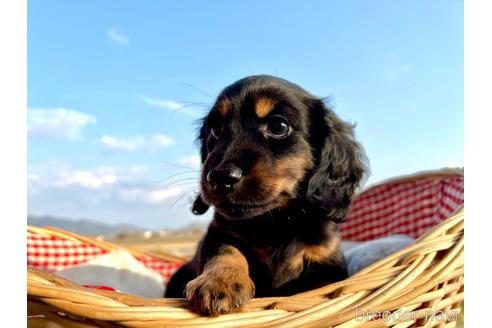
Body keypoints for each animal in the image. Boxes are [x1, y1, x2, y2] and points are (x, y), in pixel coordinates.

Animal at [165, 74, 366, 316]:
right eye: (215, 130)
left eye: (278, 126)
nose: (220, 177)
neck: (273, 222)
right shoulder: (218, 233)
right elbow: (227, 251)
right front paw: (219, 281)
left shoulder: (327, 262)